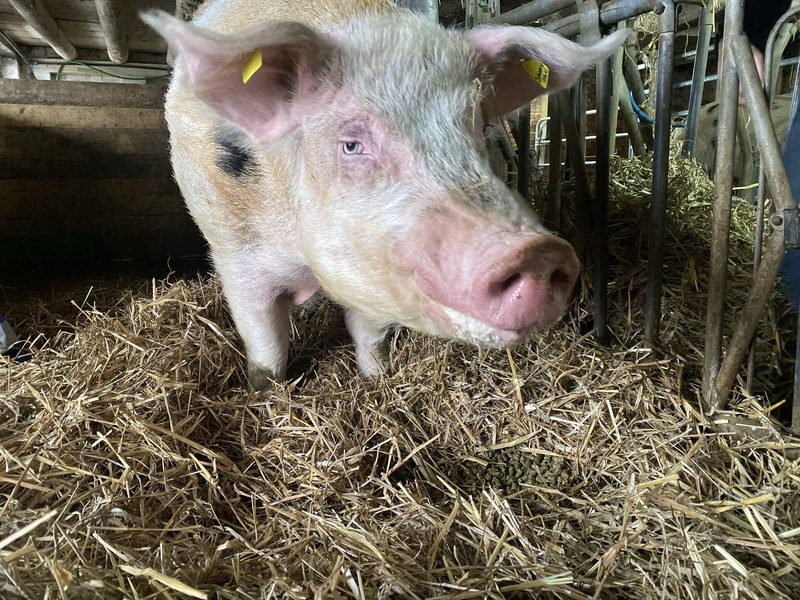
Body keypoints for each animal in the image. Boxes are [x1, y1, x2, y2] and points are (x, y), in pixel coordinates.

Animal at [142, 1, 627, 390]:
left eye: (481, 125)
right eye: (351, 144)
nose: (538, 253)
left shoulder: (378, 271)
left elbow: (369, 334)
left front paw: (376, 380)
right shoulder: (236, 253)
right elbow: (265, 343)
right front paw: (267, 395)